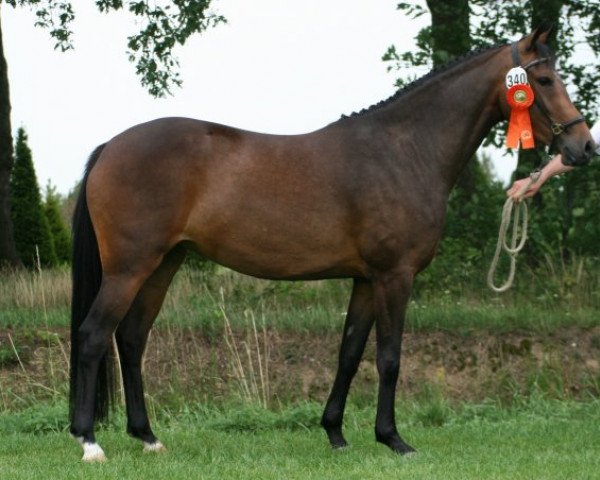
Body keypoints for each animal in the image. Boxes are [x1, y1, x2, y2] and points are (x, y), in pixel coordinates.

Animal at [69, 26, 596, 462]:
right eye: (544, 79)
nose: (584, 147)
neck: (404, 151)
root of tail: (110, 147)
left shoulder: (365, 279)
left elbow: (349, 354)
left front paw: (336, 434)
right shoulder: (394, 276)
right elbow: (389, 358)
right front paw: (394, 439)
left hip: (164, 264)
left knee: (131, 338)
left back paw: (147, 437)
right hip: (130, 267)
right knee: (94, 335)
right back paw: (89, 442)